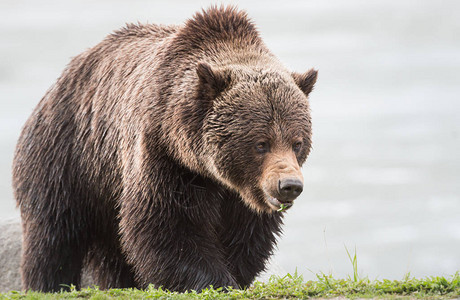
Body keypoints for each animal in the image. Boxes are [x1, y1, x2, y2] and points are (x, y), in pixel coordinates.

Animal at [12, 5, 318, 292]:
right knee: (53, 235)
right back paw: (48, 283)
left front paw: (234, 275)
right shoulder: (163, 156)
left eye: (297, 142)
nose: (289, 185)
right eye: (261, 143)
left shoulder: (239, 194)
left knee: (111, 252)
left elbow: (245, 234)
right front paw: (213, 281)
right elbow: (168, 226)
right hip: (68, 157)